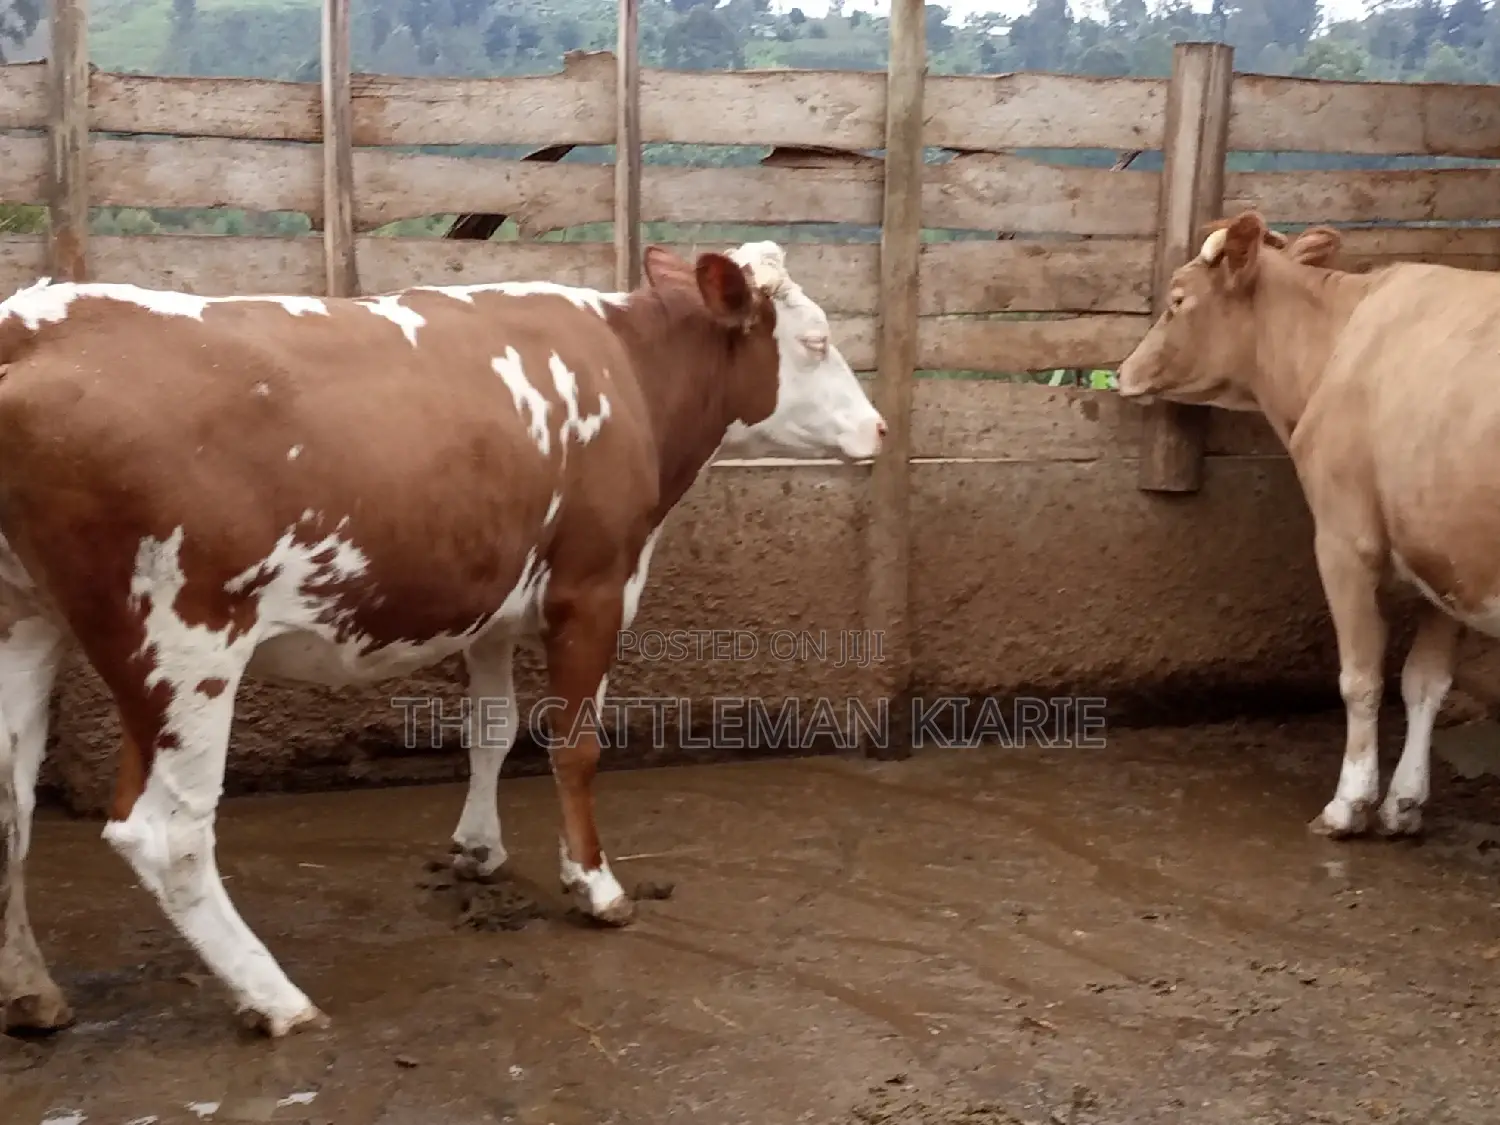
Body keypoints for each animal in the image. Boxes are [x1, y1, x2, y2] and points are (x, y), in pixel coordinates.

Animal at [0, 240, 886, 1038]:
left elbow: (490, 728)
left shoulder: (490, 603)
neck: (630, 372)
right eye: (817, 340)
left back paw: (31, 991)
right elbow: (575, 746)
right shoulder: (594, 586)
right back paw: (276, 997)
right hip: (185, 643)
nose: (879, 427)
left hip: (26, 616)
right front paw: (594, 885)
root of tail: (31, 321)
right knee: (165, 831)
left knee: (11, 800)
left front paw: (478, 848)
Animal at [1116, 207, 1500, 842]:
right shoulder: (1440, 557)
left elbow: (1362, 678)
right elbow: (1425, 683)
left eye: (1177, 300)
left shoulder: (1345, 541)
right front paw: (1404, 804)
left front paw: (1349, 804)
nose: (1123, 371)